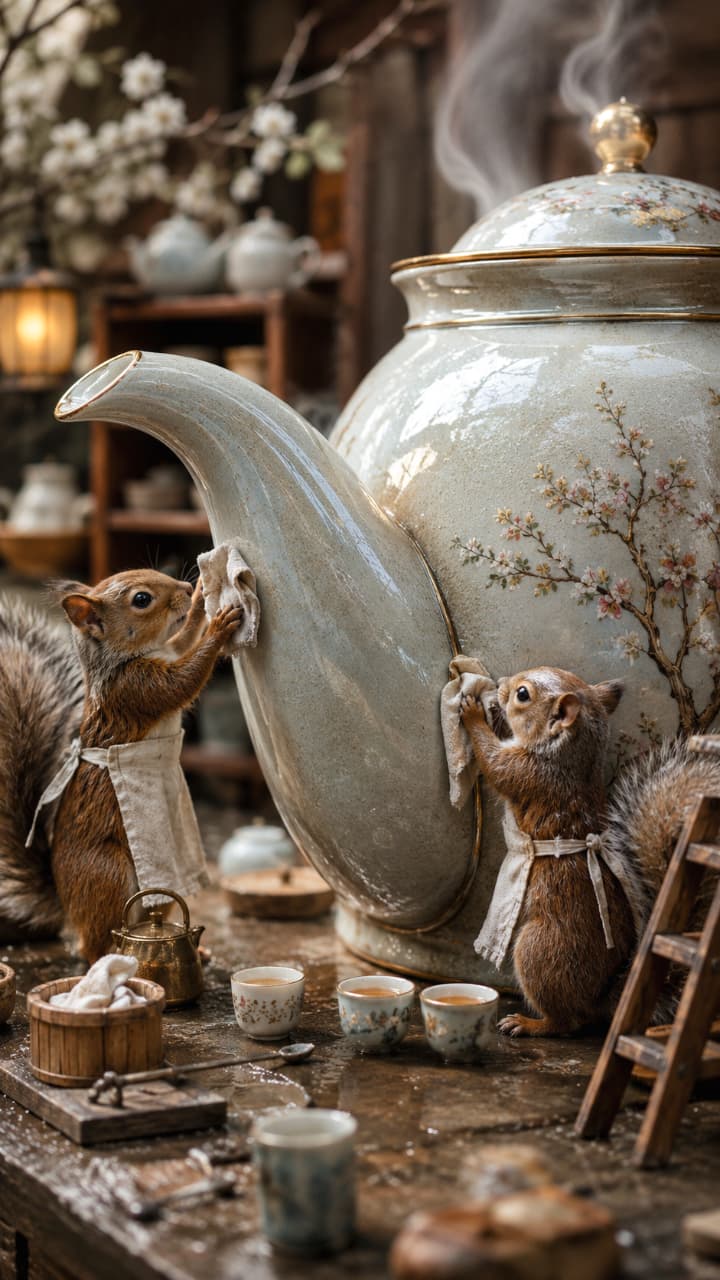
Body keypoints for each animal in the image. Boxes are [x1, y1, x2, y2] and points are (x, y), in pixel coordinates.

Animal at [0, 569, 241, 962]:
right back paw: (116, 959)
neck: (131, 656)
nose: (187, 587)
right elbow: (183, 681)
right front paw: (219, 628)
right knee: (96, 943)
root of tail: (68, 906)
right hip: (109, 875)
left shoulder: (168, 651)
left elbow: (184, 640)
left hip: (162, 881)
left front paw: (198, 605)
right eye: (141, 600)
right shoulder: (135, 690)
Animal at [460, 666, 720, 1038]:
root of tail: (600, 998)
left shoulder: (530, 773)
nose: (502, 684)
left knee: (566, 1022)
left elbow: (493, 762)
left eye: (523, 694)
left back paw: (528, 1023)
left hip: (540, 951)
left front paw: (472, 714)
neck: (569, 756)